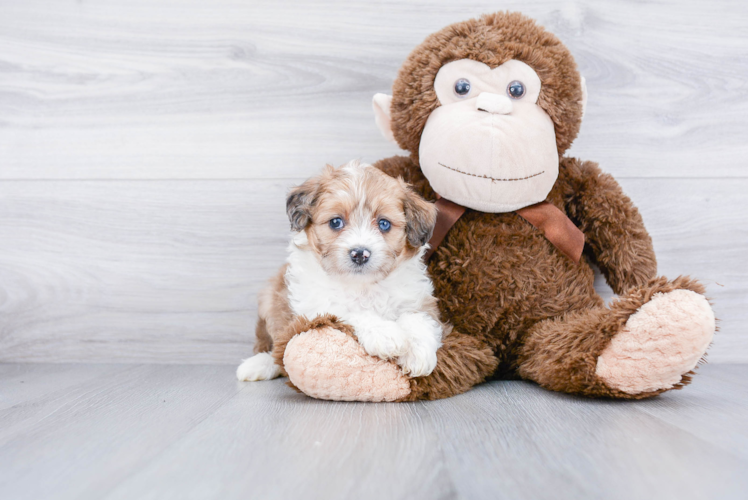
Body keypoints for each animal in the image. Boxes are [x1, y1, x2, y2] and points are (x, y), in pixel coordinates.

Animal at [237, 160, 444, 382]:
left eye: (384, 224)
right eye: (336, 222)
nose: (360, 253)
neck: (362, 286)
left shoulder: (419, 299)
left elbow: (418, 318)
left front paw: (418, 352)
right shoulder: (314, 307)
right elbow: (349, 310)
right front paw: (384, 333)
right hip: (270, 300)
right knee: (276, 348)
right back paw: (258, 364)